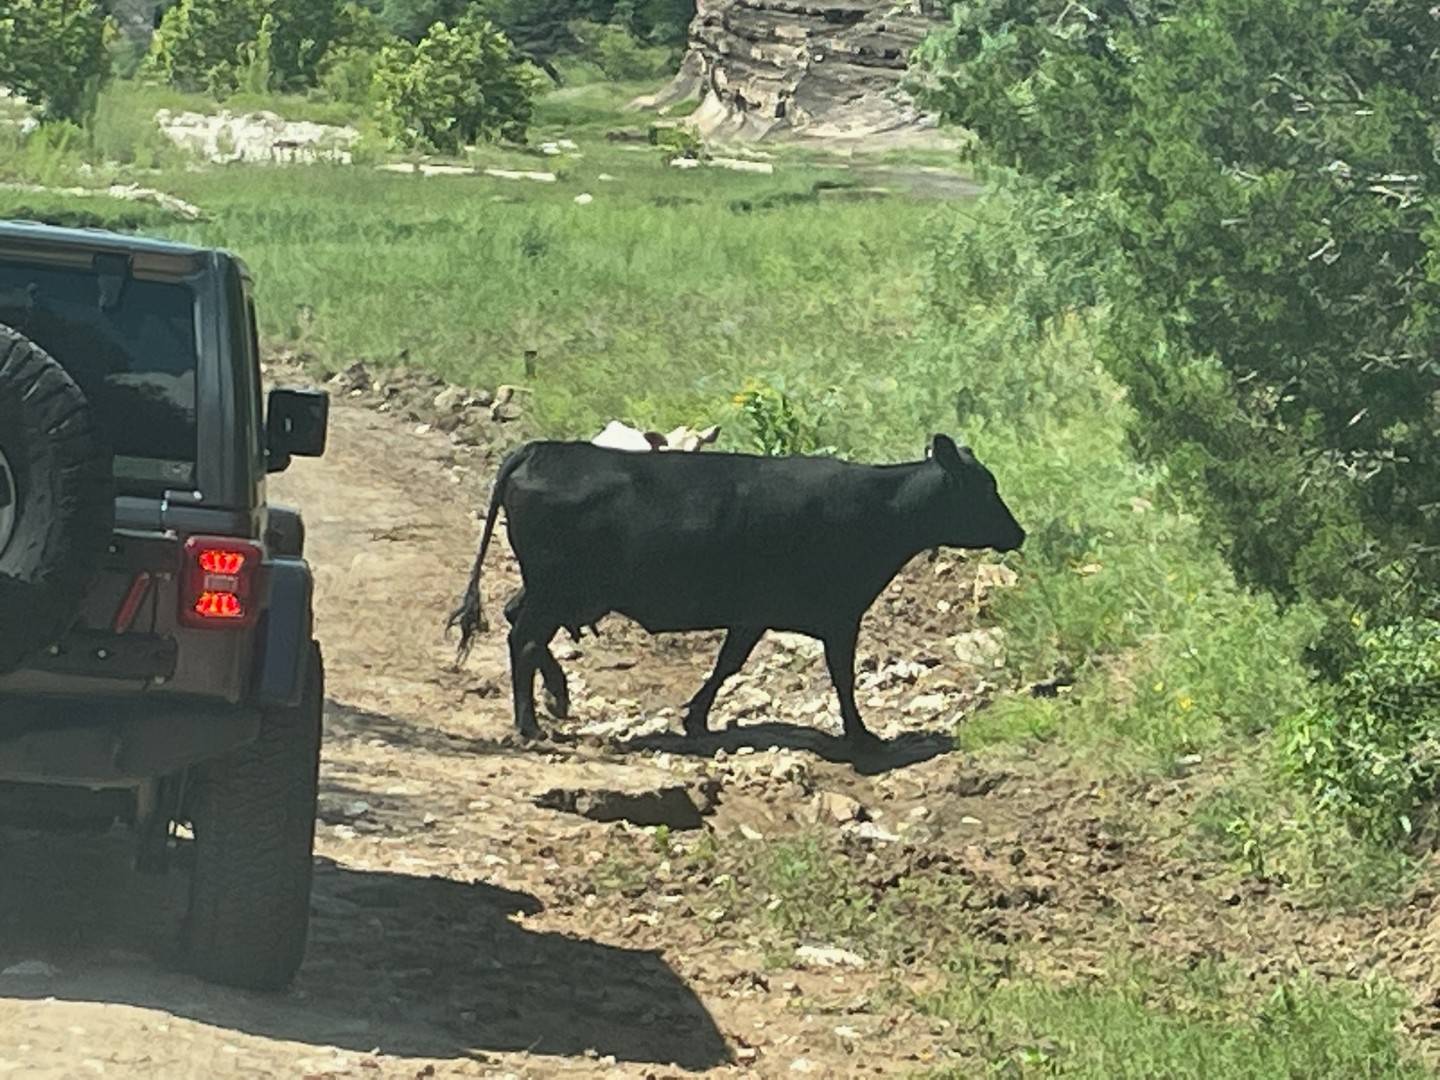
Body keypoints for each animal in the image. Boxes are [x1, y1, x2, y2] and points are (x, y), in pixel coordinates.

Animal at [448, 434, 1025, 749]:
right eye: (985, 487)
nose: (1018, 533)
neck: (879, 507)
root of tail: (539, 449)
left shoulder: (754, 613)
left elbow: (729, 663)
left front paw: (696, 718)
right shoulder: (840, 614)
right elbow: (841, 677)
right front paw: (862, 736)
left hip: (556, 590)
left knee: (514, 617)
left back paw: (558, 695)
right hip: (556, 587)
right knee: (523, 638)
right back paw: (529, 723)